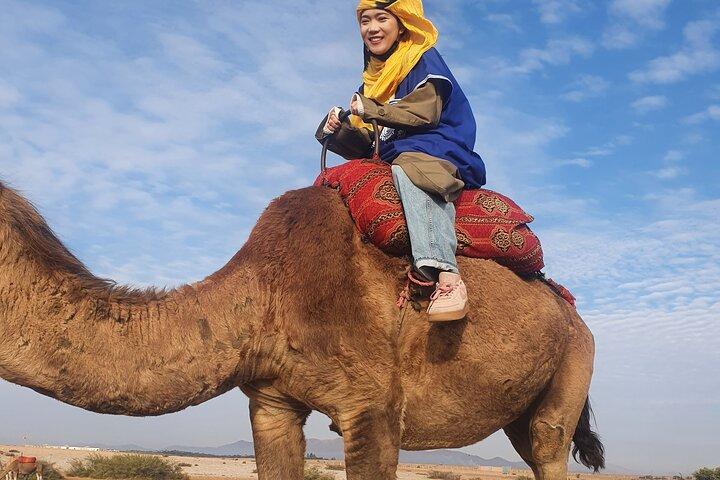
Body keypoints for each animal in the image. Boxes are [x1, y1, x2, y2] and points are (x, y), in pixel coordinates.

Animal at [0, 180, 604, 480]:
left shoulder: (373, 406)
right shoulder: (272, 401)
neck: (265, 293)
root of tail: (570, 310)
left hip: (575, 361)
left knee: (549, 446)